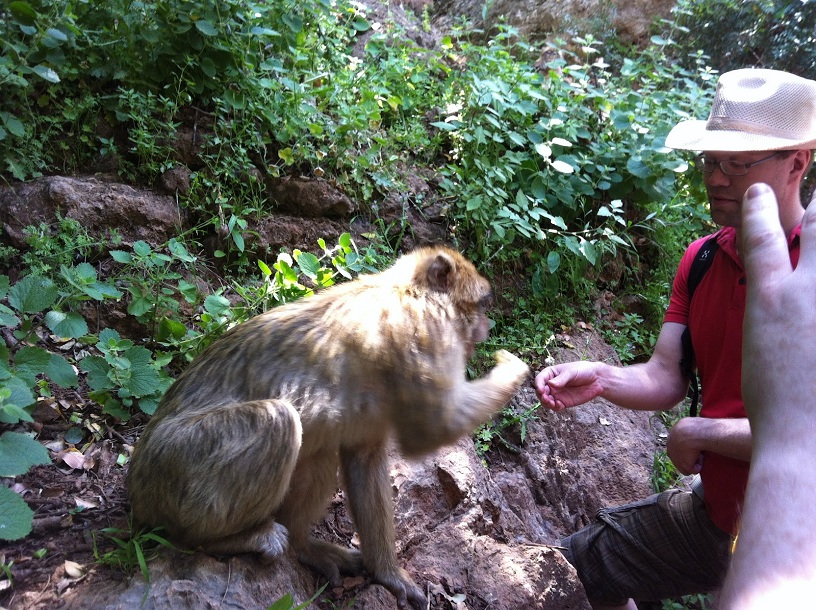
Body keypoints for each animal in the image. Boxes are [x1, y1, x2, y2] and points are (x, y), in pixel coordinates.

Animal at [122, 243, 528, 608]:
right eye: (484, 304)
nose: (487, 326)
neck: (407, 290)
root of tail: (136, 490)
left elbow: (363, 459)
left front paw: (388, 574)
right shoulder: (423, 331)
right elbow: (435, 429)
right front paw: (516, 368)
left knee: (319, 449)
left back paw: (304, 547)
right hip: (177, 464)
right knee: (279, 421)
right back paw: (223, 541)